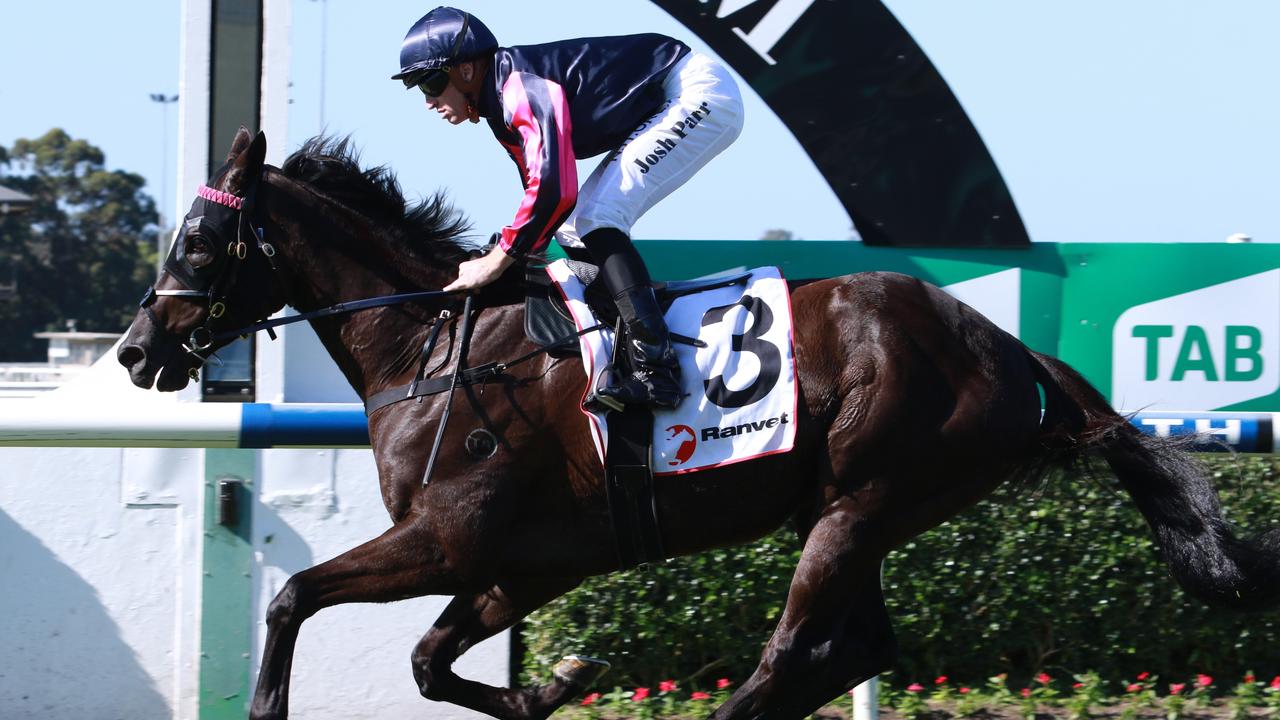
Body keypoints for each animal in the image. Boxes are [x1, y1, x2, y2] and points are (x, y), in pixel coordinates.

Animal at [117, 130, 1280, 717]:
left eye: (197, 244)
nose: (134, 351)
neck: (432, 347)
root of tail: (1008, 351)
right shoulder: (524, 563)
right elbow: (427, 665)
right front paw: (560, 684)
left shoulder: (446, 538)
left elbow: (294, 599)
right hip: (854, 510)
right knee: (855, 645)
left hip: (863, 499)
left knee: (796, 649)